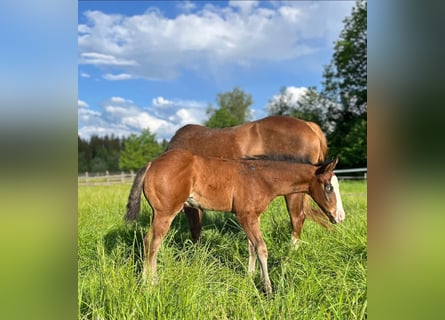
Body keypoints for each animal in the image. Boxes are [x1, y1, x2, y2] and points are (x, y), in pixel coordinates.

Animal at [126, 116, 346, 249]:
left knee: (297, 217)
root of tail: (309, 126)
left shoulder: (190, 204)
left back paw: (292, 250)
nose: (340, 216)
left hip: (294, 192)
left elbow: (195, 229)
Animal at [137, 149, 338, 294]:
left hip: (159, 214)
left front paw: (250, 277)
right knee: (153, 244)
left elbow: (251, 248)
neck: (261, 177)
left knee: (148, 241)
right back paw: (151, 284)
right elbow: (261, 248)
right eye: (328, 187)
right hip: (165, 213)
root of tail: (151, 164)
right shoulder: (245, 216)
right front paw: (268, 288)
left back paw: (147, 280)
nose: (338, 217)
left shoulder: (253, 217)